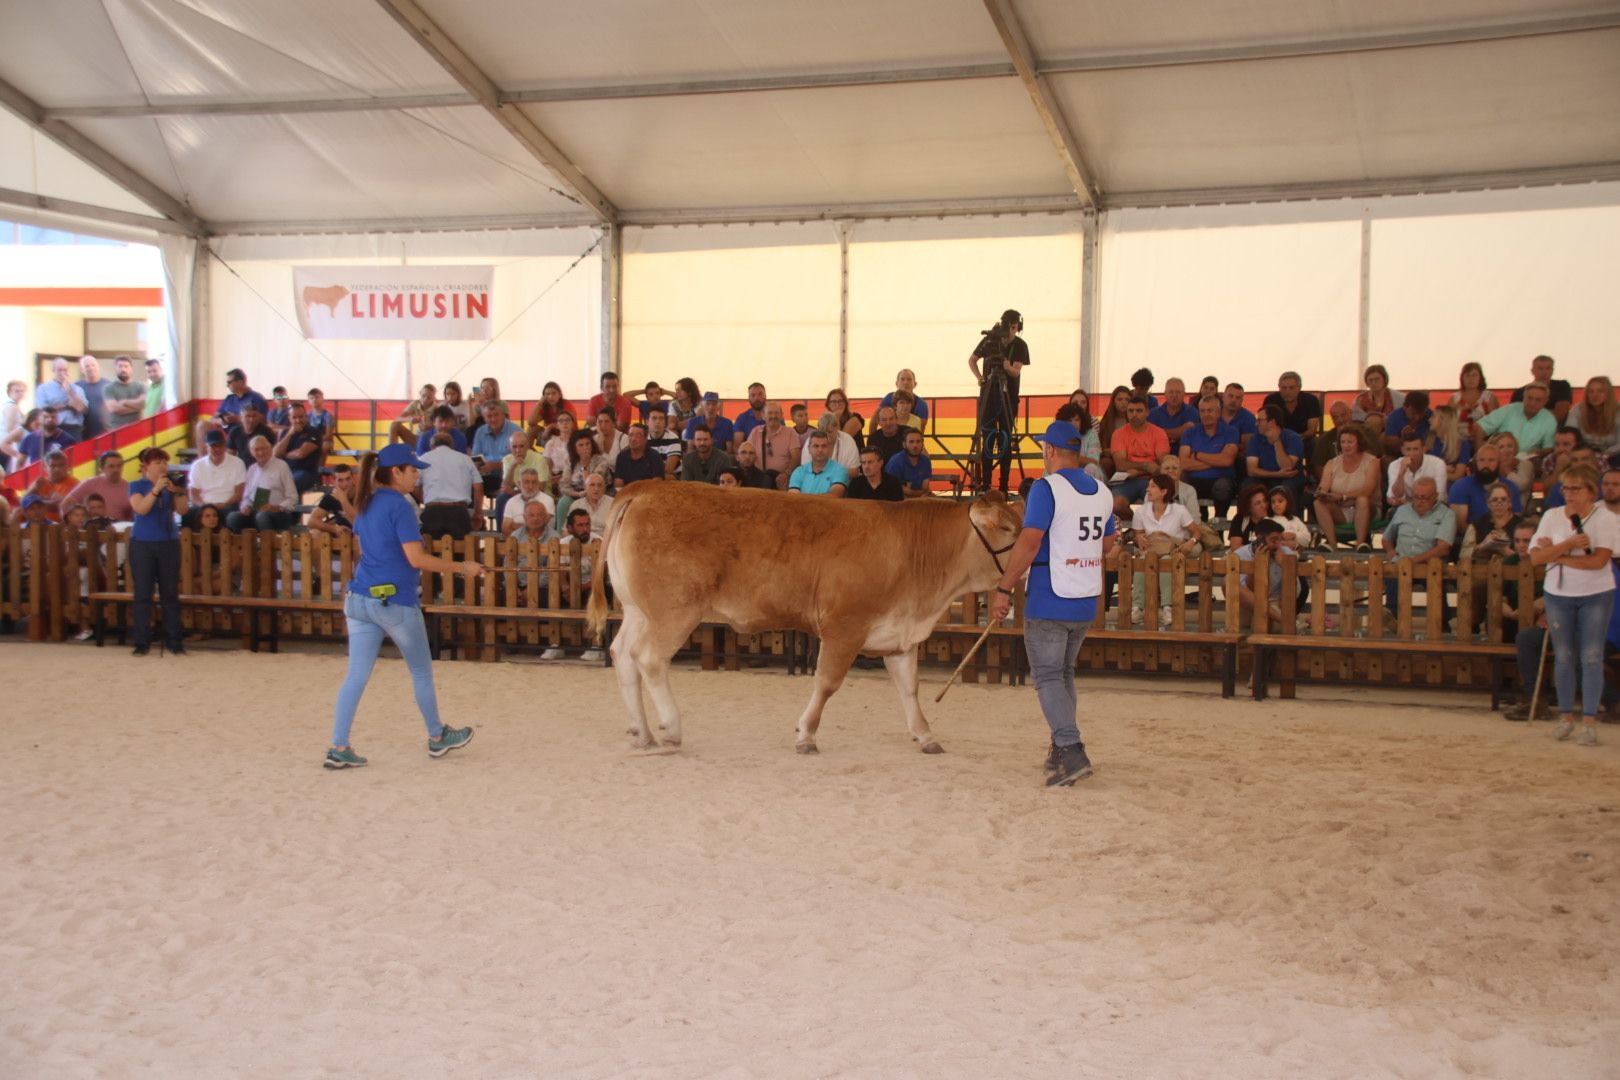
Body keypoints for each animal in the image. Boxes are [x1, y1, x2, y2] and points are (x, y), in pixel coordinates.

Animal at [592, 482, 1023, 751]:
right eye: (1005, 527)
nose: (1030, 555)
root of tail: (646, 488)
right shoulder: (845, 627)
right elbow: (827, 683)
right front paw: (805, 735)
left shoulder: (898, 635)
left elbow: (909, 688)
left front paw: (926, 735)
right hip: (674, 610)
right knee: (649, 658)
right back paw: (670, 728)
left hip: (638, 610)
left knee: (622, 654)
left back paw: (642, 732)